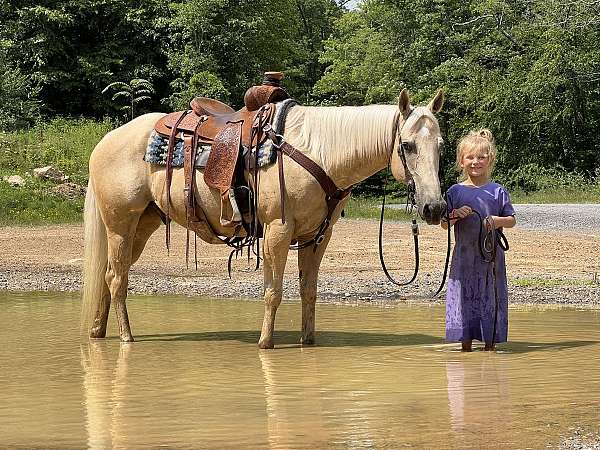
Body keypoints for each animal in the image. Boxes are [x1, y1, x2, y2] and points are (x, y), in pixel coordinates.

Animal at [81, 89, 446, 348]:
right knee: (116, 279)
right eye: (408, 145)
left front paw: (308, 342)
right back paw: (126, 338)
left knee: (108, 276)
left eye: (441, 145)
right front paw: (265, 343)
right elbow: (274, 292)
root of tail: (105, 141)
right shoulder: (277, 231)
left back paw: (99, 331)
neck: (317, 152)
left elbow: (308, 290)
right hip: (120, 224)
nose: (435, 208)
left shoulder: (317, 237)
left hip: (142, 225)